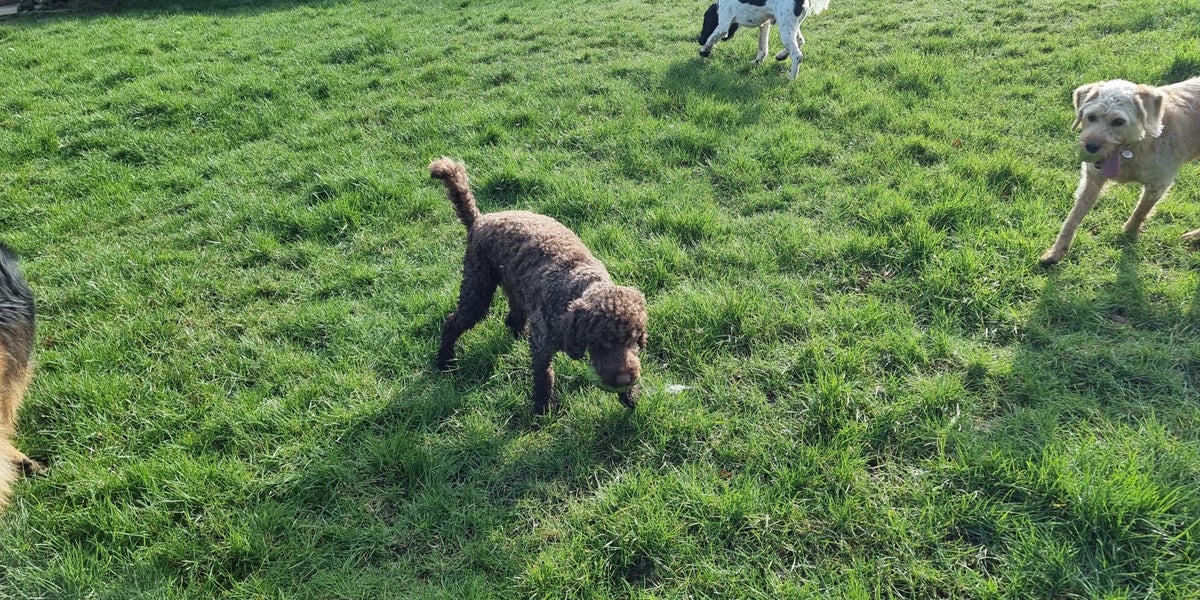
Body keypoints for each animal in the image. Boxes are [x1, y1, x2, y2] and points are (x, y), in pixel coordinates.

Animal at [429, 158, 648, 415]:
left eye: (633, 339)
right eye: (601, 341)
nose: (624, 380)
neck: (578, 285)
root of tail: (479, 220)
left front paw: (629, 396)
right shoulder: (542, 346)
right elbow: (545, 378)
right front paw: (543, 409)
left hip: (515, 286)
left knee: (513, 316)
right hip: (477, 287)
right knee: (452, 322)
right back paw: (445, 362)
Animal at [698, 0, 831, 80]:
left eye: (705, 21)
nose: (699, 41)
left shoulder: (723, 25)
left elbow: (711, 37)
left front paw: (704, 51)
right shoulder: (765, 24)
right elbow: (763, 48)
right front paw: (758, 61)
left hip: (785, 27)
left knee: (797, 55)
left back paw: (791, 78)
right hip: (791, 26)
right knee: (800, 40)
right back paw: (781, 56)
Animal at [1041, 77, 1200, 265]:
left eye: (1118, 121)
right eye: (1091, 117)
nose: (1091, 147)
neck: (1135, 147)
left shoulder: (1158, 184)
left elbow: (1141, 210)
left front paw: (1129, 232)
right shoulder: (1092, 180)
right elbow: (1073, 217)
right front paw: (1057, 251)